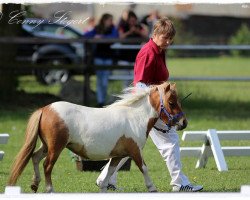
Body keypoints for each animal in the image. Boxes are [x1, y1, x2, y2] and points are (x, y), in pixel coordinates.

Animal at [7, 81, 187, 192]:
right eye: (172, 102)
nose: (183, 123)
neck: (135, 117)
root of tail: (45, 109)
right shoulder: (135, 151)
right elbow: (144, 168)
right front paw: (152, 188)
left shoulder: (117, 156)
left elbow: (108, 176)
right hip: (56, 148)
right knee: (47, 165)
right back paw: (50, 190)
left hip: (46, 146)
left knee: (35, 158)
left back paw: (34, 184)